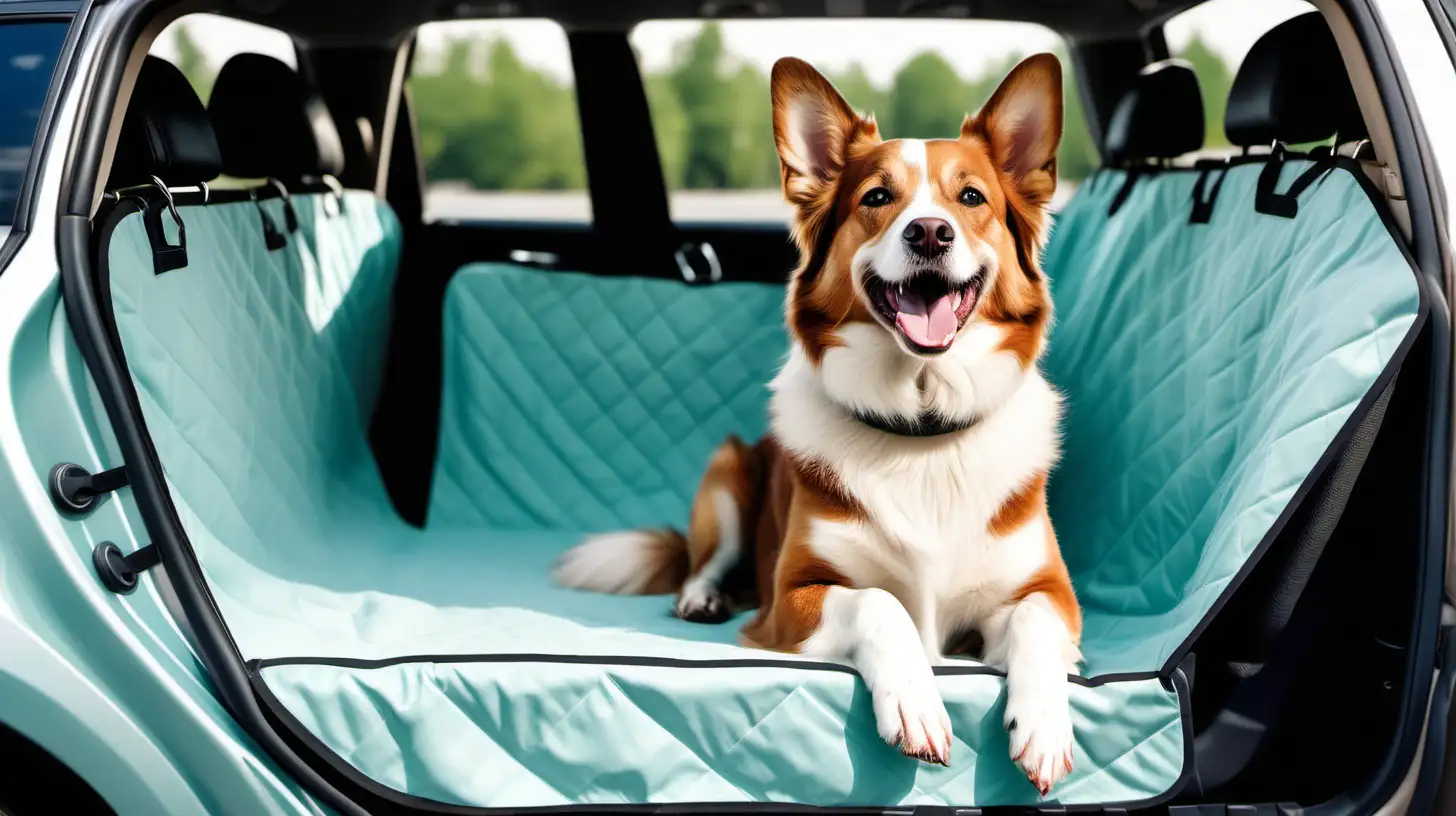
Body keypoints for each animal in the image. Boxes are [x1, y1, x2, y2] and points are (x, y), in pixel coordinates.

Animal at [556, 52, 1083, 798]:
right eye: (878, 198)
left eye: (972, 198)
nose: (929, 232)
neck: (919, 426)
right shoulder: (791, 599)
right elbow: (880, 602)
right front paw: (916, 704)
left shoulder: (1052, 593)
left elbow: (1039, 622)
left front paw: (1042, 727)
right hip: (727, 472)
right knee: (704, 561)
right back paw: (701, 597)